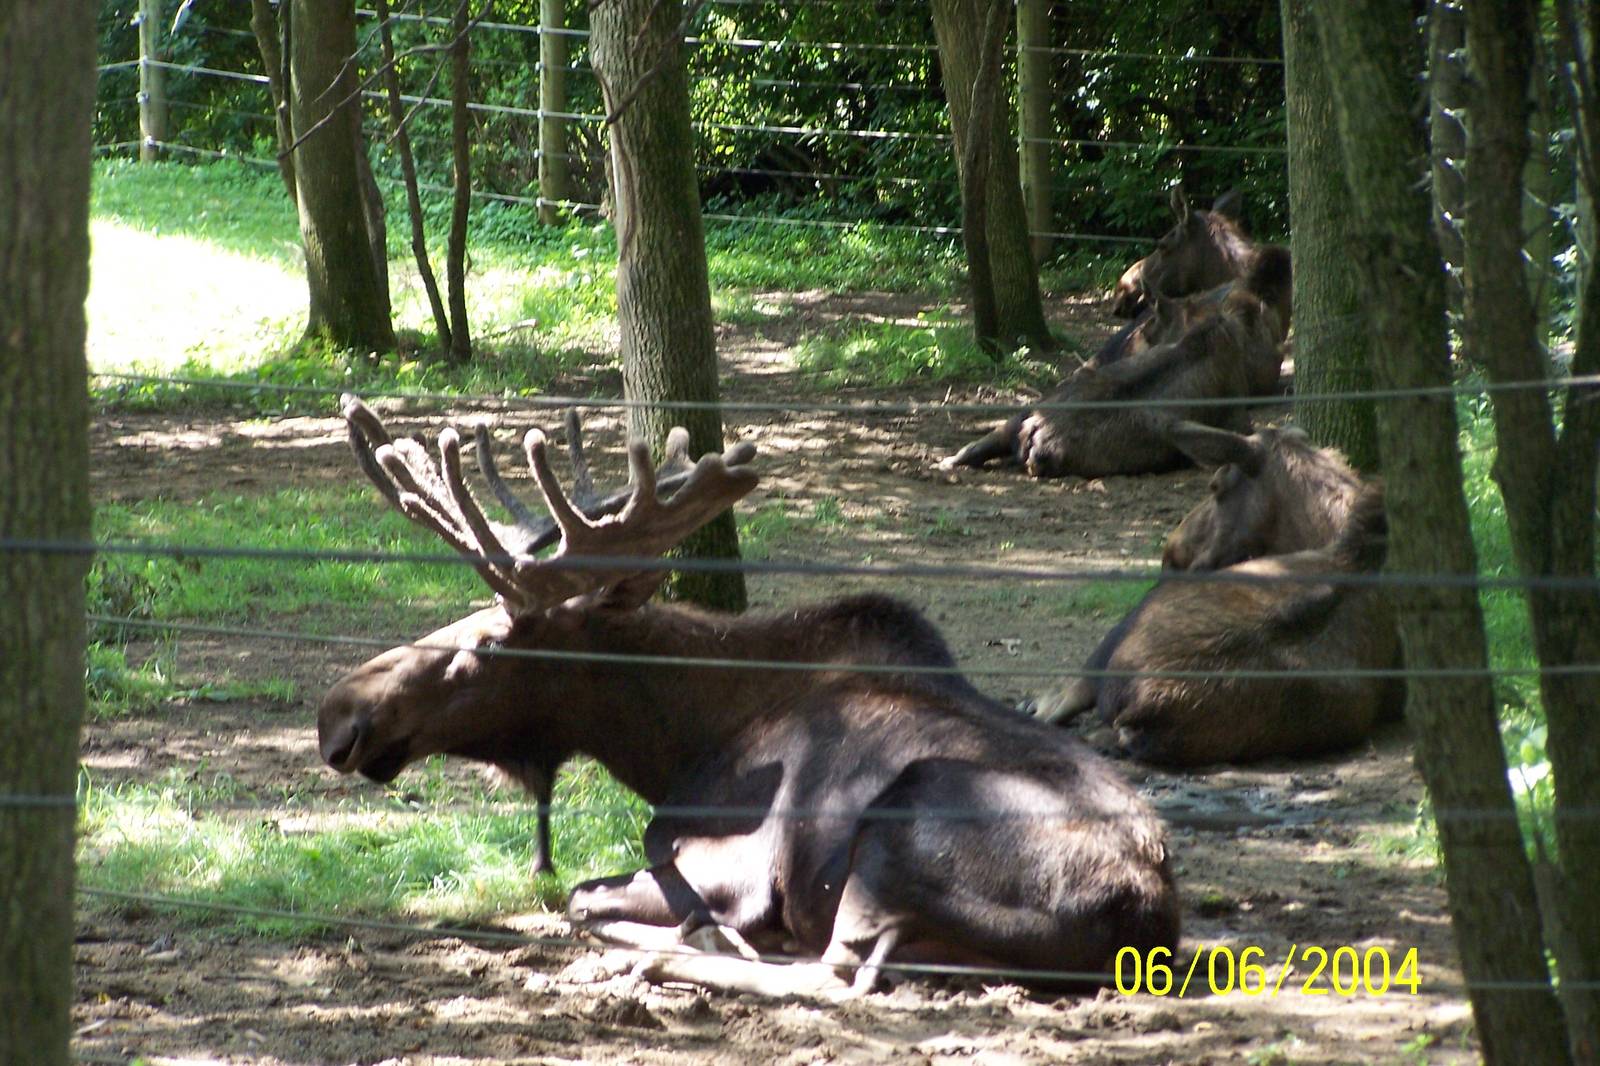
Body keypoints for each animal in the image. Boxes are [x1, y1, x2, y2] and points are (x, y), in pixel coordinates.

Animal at [318, 396, 1180, 998]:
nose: (338, 716)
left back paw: (688, 955)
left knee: (835, 975)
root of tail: (1143, 920)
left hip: (898, 829)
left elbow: (582, 897)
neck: (673, 743)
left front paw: (694, 931)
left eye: (490, 644)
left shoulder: (725, 864)